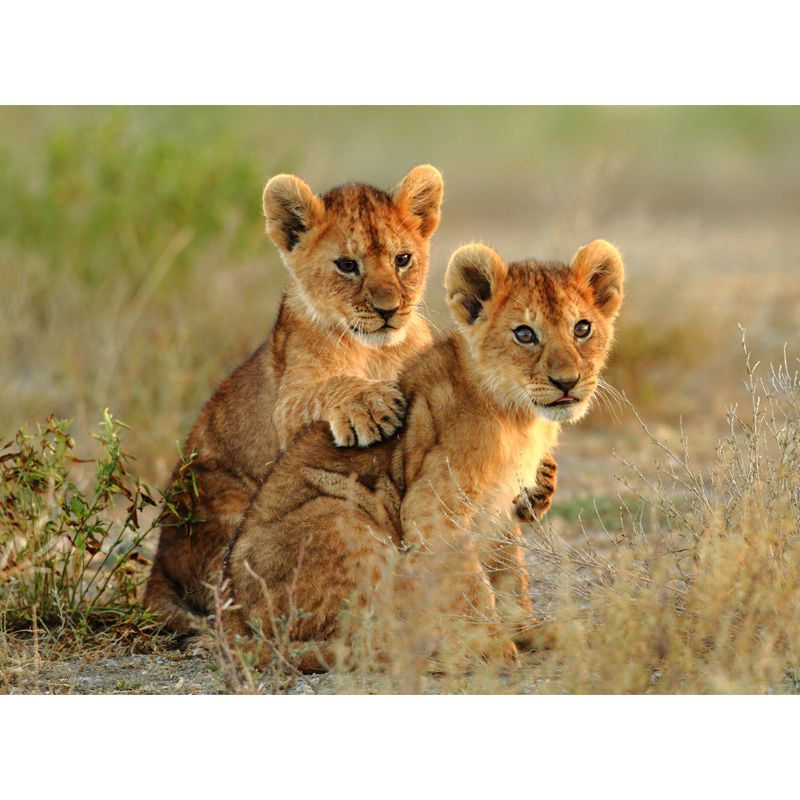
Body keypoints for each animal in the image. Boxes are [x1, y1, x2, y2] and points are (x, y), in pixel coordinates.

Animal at [223, 238, 624, 669]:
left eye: (582, 328)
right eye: (524, 334)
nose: (567, 382)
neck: (520, 418)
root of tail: (232, 618)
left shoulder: (499, 506)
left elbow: (509, 572)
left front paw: (527, 628)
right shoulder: (433, 504)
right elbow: (468, 580)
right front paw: (488, 642)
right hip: (341, 515)